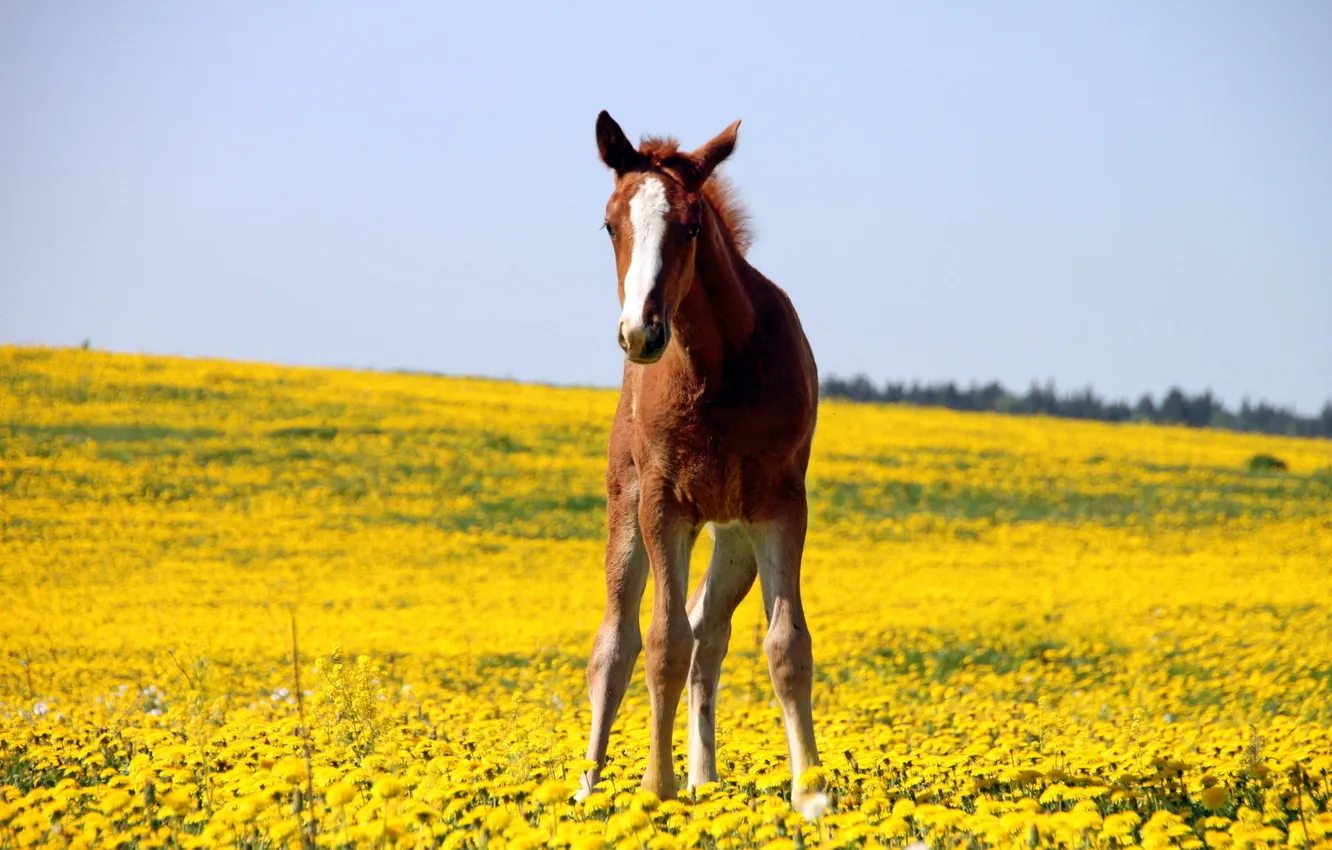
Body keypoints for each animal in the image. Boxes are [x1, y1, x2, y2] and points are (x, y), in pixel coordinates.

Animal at [578, 111, 826, 819]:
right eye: (611, 224)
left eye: (691, 226)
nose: (640, 333)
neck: (717, 371)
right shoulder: (665, 505)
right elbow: (661, 642)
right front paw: (654, 788)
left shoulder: (779, 507)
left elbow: (785, 646)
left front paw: (811, 795)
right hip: (628, 509)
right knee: (616, 642)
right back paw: (587, 787)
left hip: (734, 540)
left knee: (707, 631)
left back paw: (704, 781)